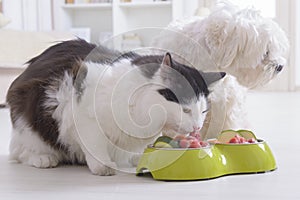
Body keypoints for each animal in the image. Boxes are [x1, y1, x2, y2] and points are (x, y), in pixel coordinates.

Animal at [6, 39, 225, 175]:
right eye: (186, 109)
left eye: (203, 111)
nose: (197, 127)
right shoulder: (82, 114)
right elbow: (95, 145)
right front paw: (102, 167)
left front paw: (140, 157)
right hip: (29, 124)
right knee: (20, 152)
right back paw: (43, 158)